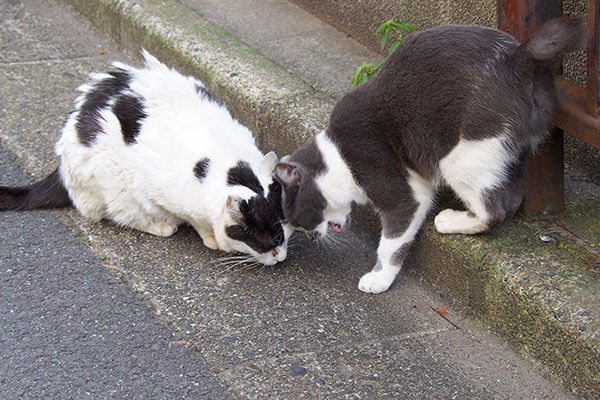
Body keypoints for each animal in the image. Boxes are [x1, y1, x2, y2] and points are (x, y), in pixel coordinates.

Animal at [0, 51, 290, 268]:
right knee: (116, 213)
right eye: (263, 240)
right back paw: (163, 226)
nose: (280, 256)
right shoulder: (170, 197)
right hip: (112, 185)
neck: (229, 166)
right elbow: (199, 223)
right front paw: (212, 239)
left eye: (283, 234)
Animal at [274, 17, 584, 292]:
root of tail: (517, 56)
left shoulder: (393, 184)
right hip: (508, 150)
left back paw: (449, 220)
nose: (312, 236)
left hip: (457, 156)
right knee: (512, 197)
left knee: (493, 212)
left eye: (299, 218)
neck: (338, 159)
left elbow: (392, 243)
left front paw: (379, 278)